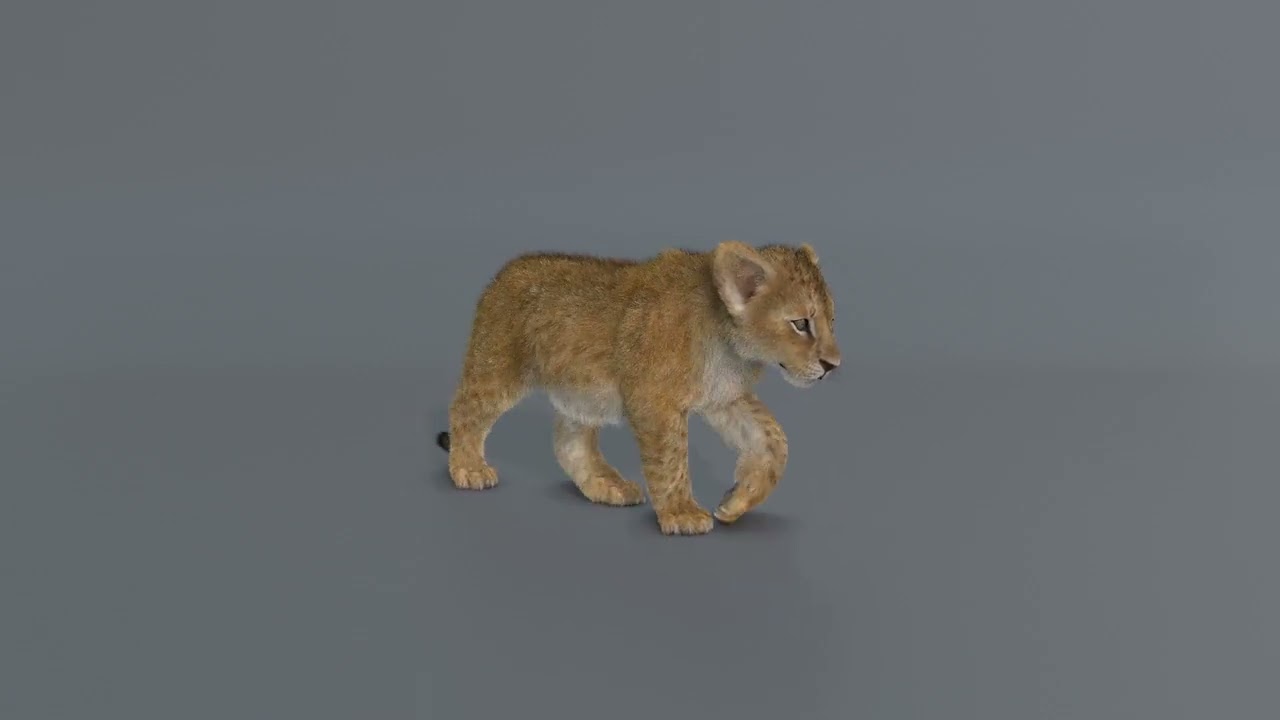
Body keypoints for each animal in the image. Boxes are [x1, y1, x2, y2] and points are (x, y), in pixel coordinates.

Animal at [434, 240, 842, 535]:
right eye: (801, 324)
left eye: (831, 321)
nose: (833, 365)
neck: (731, 345)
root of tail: (504, 273)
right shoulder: (654, 401)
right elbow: (671, 459)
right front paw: (681, 513)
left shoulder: (724, 397)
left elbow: (774, 441)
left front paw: (735, 502)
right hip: (498, 369)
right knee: (466, 408)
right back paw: (469, 468)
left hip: (582, 395)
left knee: (569, 443)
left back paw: (608, 486)